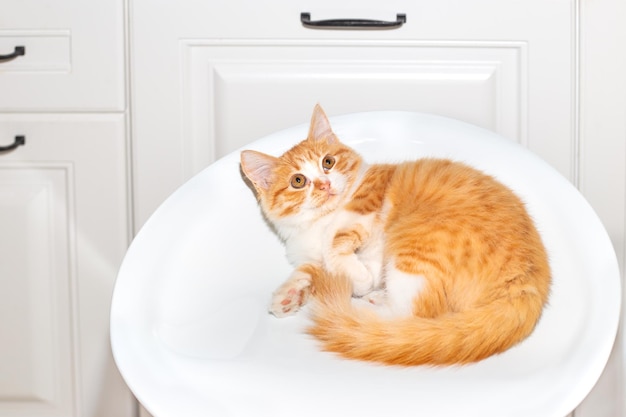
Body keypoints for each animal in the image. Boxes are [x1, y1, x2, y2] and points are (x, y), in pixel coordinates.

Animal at [241, 105, 548, 366]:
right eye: (298, 181)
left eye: (328, 162)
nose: (325, 184)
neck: (319, 221)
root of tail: (529, 281)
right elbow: (309, 267)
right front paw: (288, 295)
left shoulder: (367, 204)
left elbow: (338, 244)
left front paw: (358, 278)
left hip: (416, 243)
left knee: (410, 314)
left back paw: (365, 310)